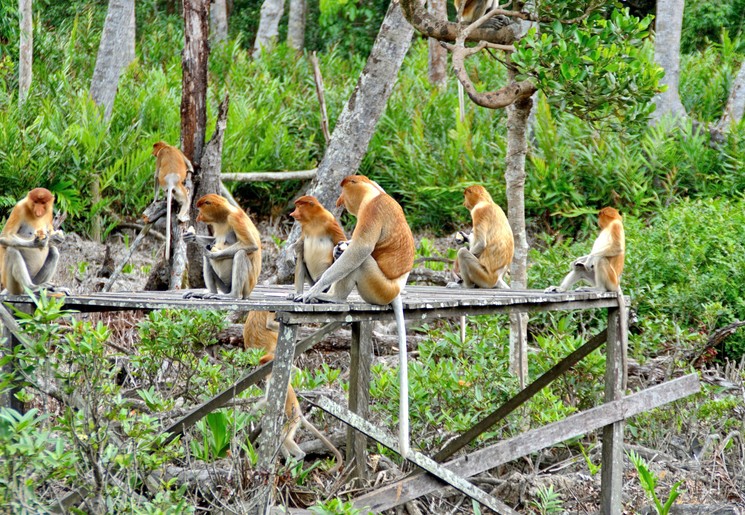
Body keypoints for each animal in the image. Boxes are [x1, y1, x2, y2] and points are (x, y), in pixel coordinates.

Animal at [294, 175, 415, 456]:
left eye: (344, 192)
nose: (340, 201)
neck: (374, 193)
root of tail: (396, 290)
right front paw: (339, 247)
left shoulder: (371, 212)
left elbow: (359, 249)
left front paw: (313, 290)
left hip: (376, 286)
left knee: (362, 260)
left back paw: (332, 297)